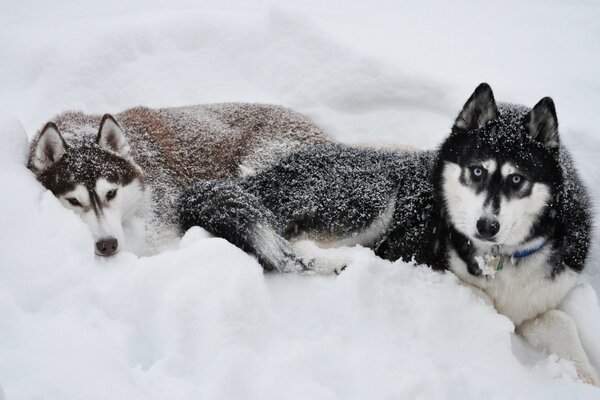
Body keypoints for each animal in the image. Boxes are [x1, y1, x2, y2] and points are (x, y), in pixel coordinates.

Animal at [178, 83, 600, 384]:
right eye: (476, 171)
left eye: (517, 179)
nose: (487, 226)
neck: (502, 257)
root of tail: (261, 176)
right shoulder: (424, 259)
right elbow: (480, 299)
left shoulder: (543, 296)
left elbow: (560, 324)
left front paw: (585, 377)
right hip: (371, 195)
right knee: (290, 246)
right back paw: (340, 261)